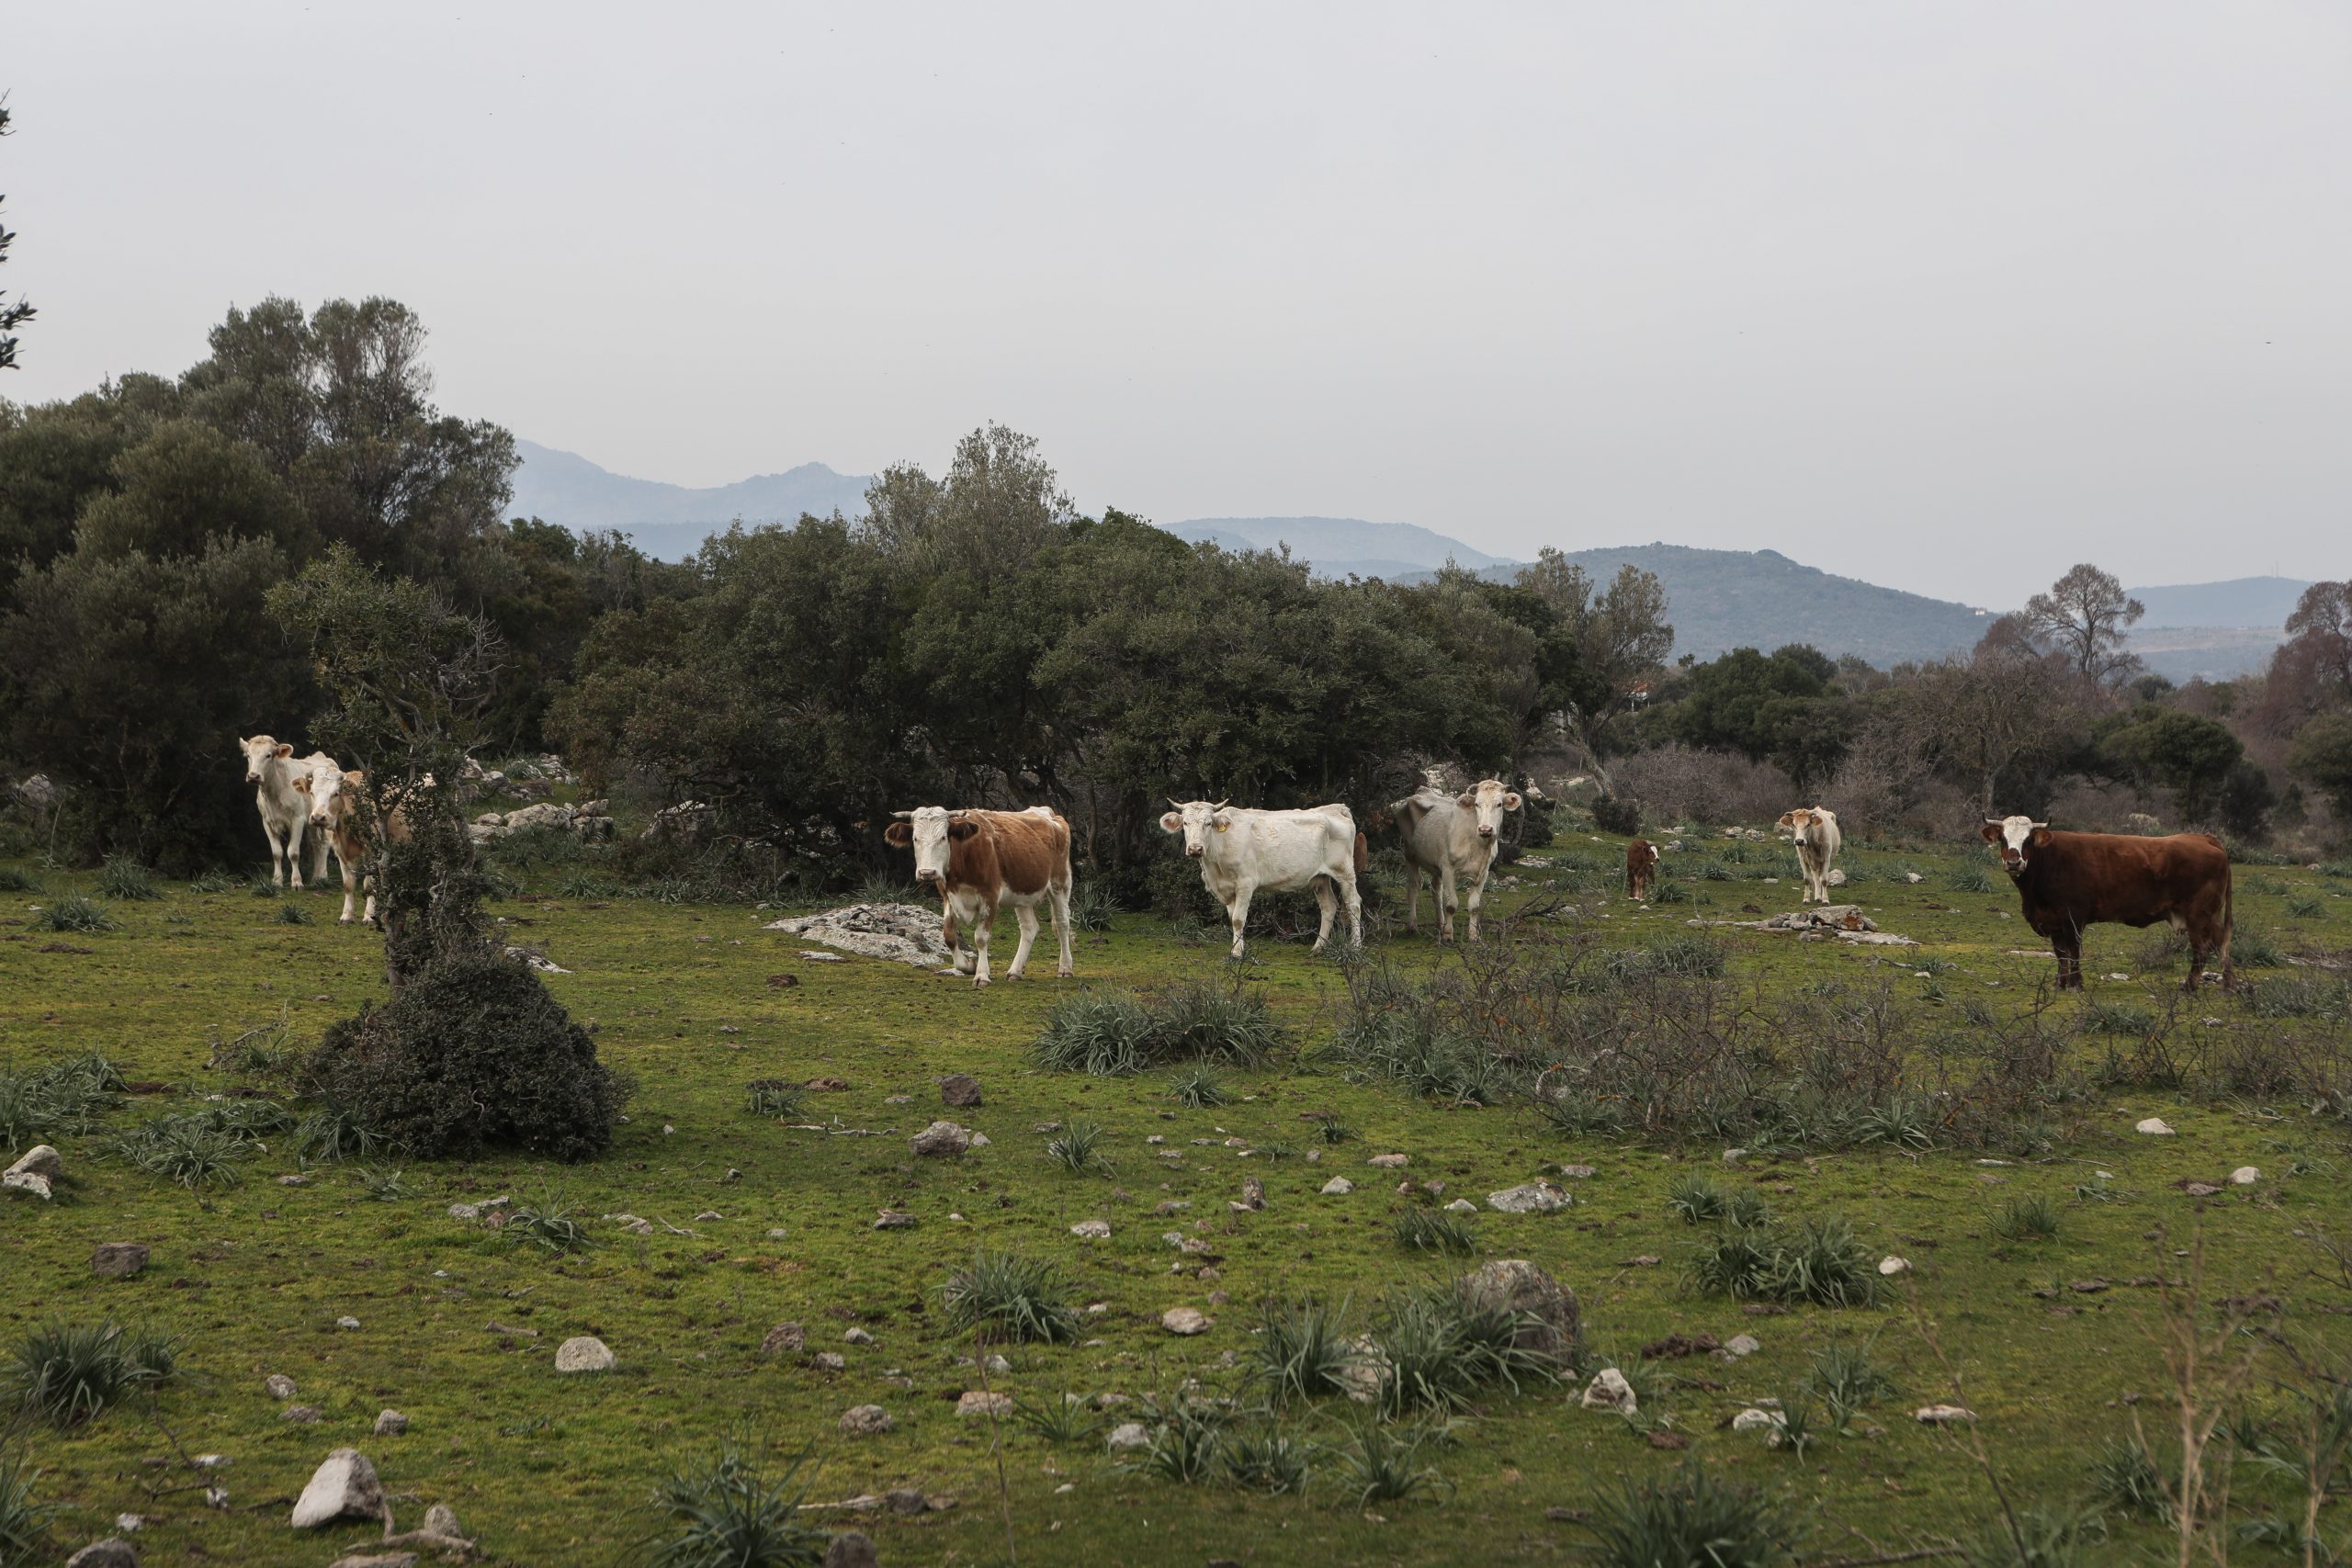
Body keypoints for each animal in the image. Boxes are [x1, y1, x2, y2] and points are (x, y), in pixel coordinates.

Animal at [236, 733, 341, 888]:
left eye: (268, 755)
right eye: (248, 755)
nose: (253, 776)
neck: (274, 793)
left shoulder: (297, 819)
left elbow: (293, 852)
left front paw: (297, 882)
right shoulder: (267, 822)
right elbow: (277, 853)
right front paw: (277, 881)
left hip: (326, 818)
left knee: (325, 843)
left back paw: (322, 877)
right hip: (313, 822)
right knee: (316, 843)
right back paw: (315, 878)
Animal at [884, 804, 1077, 987]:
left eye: (943, 837)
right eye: (915, 838)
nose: (927, 872)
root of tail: (1049, 813)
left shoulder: (990, 895)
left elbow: (981, 937)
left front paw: (982, 975)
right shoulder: (948, 896)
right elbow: (949, 936)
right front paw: (968, 965)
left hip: (1060, 883)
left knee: (1062, 923)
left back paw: (1065, 968)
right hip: (1023, 892)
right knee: (1029, 927)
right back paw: (1015, 971)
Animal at [1152, 804, 1363, 964]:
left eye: (1208, 823)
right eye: (1185, 823)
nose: (1195, 849)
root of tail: (1335, 808)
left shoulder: (1246, 883)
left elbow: (1239, 919)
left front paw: (1237, 954)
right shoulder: (1228, 889)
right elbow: (1232, 918)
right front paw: (1236, 948)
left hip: (1345, 872)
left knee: (1353, 906)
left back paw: (1355, 947)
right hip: (1320, 878)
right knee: (1329, 907)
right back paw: (1318, 948)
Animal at [1975, 822, 2229, 991]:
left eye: (2027, 840)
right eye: (2003, 839)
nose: (2014, 862)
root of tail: (2203, 838)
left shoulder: (2073, 918)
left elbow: (2073, 951)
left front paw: (2076, 985)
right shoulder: (2054, 921)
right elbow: (2060, 954)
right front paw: (2060, 984)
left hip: (2198, 915)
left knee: (2203, 949)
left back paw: (2190, 986)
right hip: (2211, 916)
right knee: (2221, 943)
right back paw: (2229, 985)